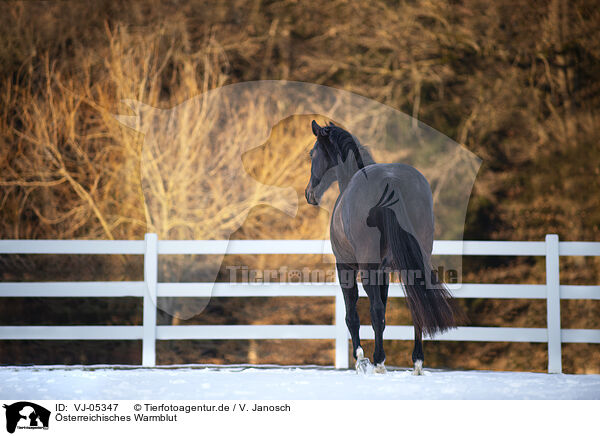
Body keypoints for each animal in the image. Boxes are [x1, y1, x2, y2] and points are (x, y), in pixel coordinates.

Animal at [304, 120, 460, 374]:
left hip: (366, 267)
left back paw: (378, 361)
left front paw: (360, 359)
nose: (309, 193)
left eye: (312, 153)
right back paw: (417, 362)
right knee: (416, 305)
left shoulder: (345, 266)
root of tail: (391, 180)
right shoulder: (385, 271)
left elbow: (354, 315)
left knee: (374, 310)